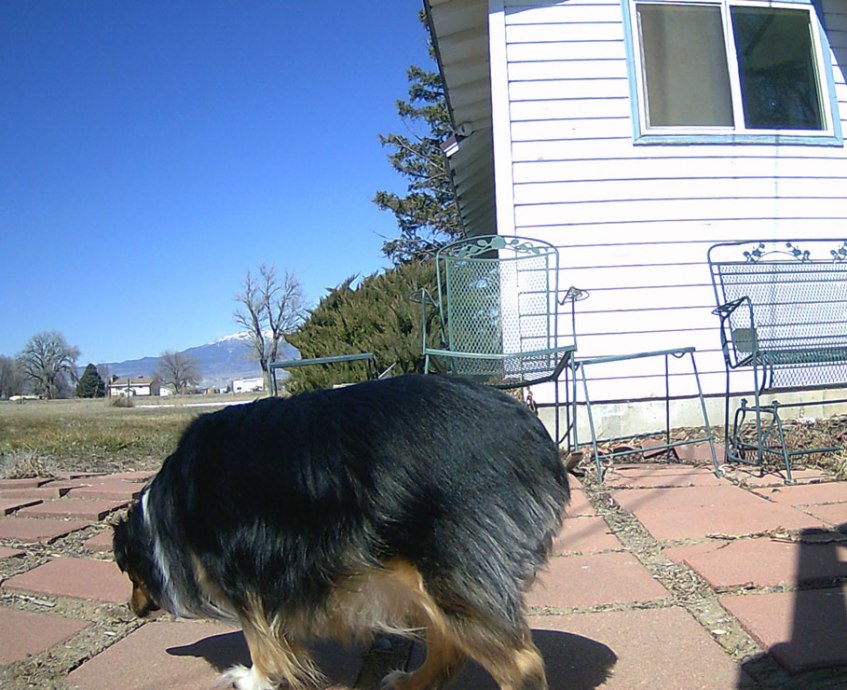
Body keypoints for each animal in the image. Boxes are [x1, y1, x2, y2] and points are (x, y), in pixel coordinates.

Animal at [113, 374, 569, 690]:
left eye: (129, 573)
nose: (132, 610)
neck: (163, 512)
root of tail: (536, 437)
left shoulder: (245, 577)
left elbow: (259, 641)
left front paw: (253, 679)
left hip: (449, 569)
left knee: (521, 666)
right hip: (423, 577)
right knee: (450, 649)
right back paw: (410, 681)